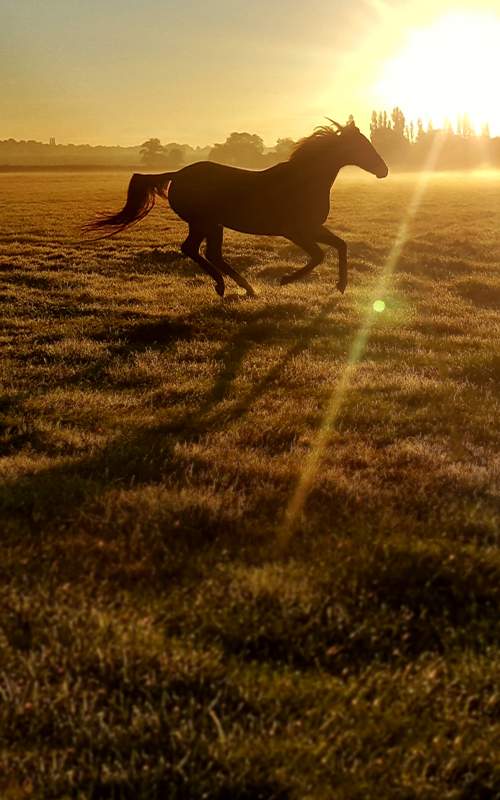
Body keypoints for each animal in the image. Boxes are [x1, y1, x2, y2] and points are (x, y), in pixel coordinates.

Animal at [86, 117, 386, 296]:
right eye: (362, 145)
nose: (383, 170)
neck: (304, 181)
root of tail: (178, 174)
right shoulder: (294, 230)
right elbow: (318, 256)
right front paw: (286, 280)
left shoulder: (312, 228)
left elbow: (340, 245)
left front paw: (341, 285)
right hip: (204, 223)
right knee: (195, 250)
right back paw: (229, 286)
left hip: (211, 225)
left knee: (206, 253)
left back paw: (240, 287)